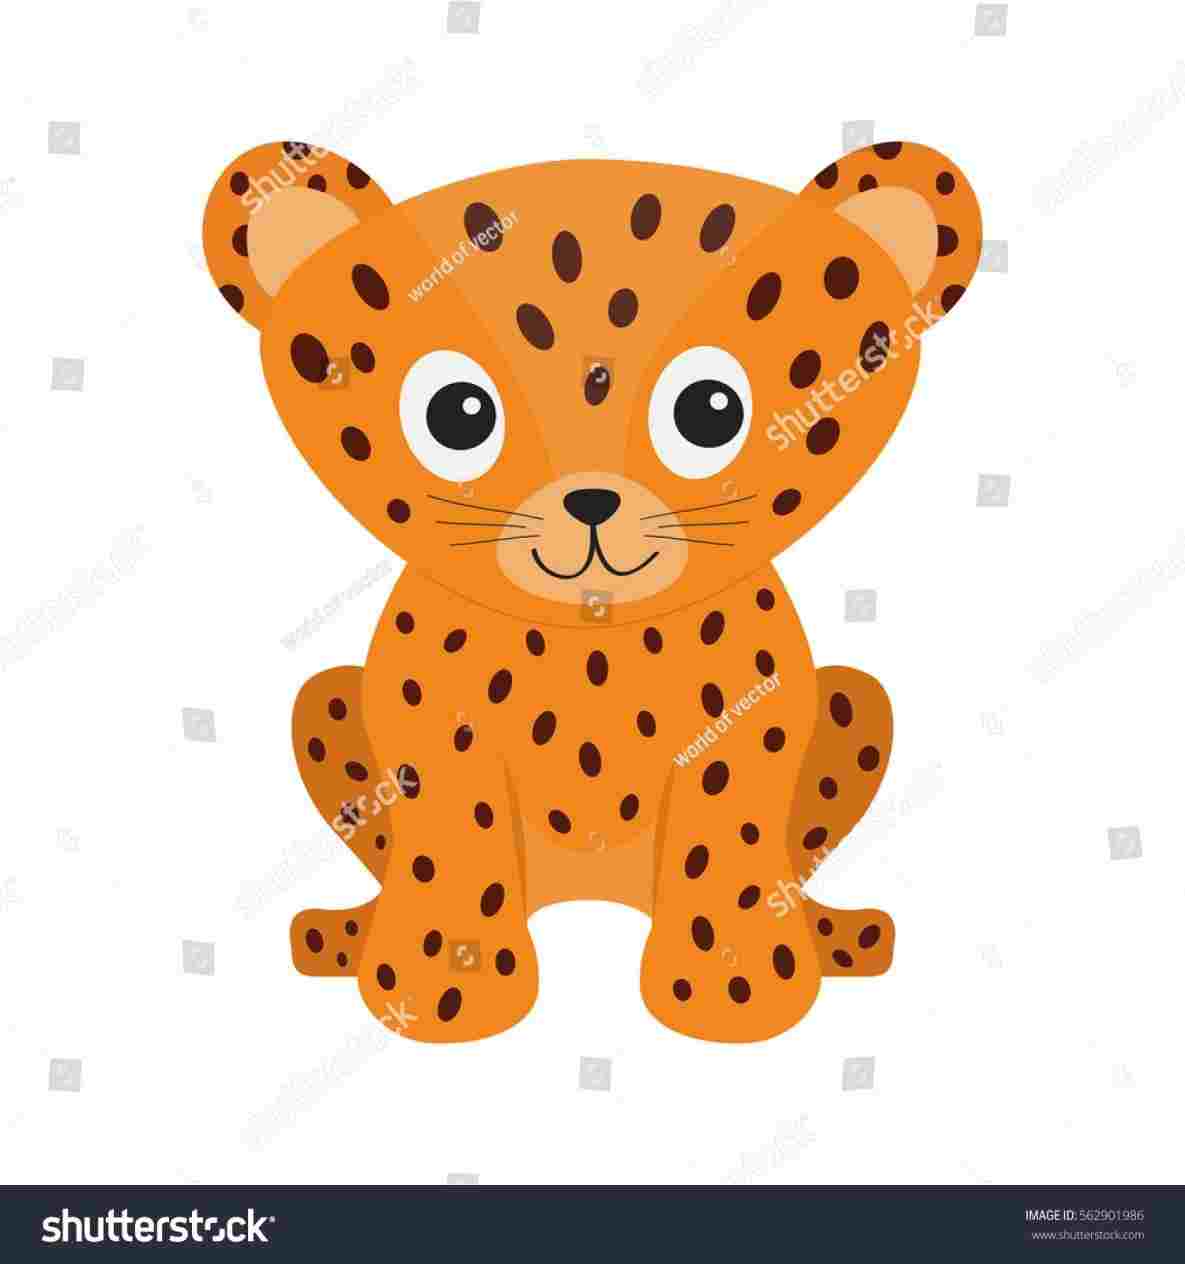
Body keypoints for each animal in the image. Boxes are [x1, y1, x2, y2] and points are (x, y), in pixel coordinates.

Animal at [202, 138, 982, 1043]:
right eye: (457, 414)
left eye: (710, 409)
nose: (591, 502)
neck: (593, 637)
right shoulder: (432, 732)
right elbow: (449, 850)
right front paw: (443, 989)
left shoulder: (744, 732)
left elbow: (728, 850)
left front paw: (735, 986)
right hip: (326, 701)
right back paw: (343, 936)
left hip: (856, 701)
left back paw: (836, 937)